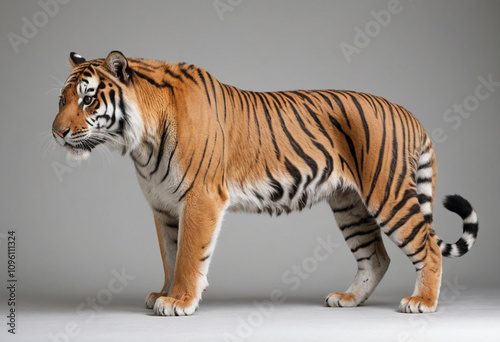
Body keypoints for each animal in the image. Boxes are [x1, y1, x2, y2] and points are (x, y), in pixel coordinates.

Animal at [52, 50, 478, 316]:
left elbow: (188, 256)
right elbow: (170, 256)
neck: (139, 143)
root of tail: (409, 114)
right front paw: (164, 293)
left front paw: (179, 301)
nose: (57, 132)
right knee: (376, 256)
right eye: (62, 99)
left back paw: (422, 303)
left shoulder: (200, 200)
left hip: (387, 195)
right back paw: (347, 299)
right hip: (350, 205)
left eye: (88, 99)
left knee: (428, 248)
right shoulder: (163, 207)